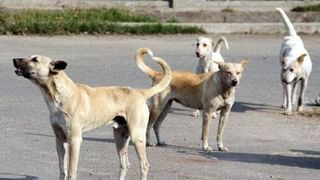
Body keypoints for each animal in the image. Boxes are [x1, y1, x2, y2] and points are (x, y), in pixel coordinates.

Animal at [13, 50, 171, 180]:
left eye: (35, 59)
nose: (14, 59)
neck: (61, 95)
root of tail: (140, 93)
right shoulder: (60, 140)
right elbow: (62, 171)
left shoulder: (74, 140)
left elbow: (71, 172)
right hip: (120, 138)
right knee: (124, 165)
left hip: (137, 137)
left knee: (144, 165)